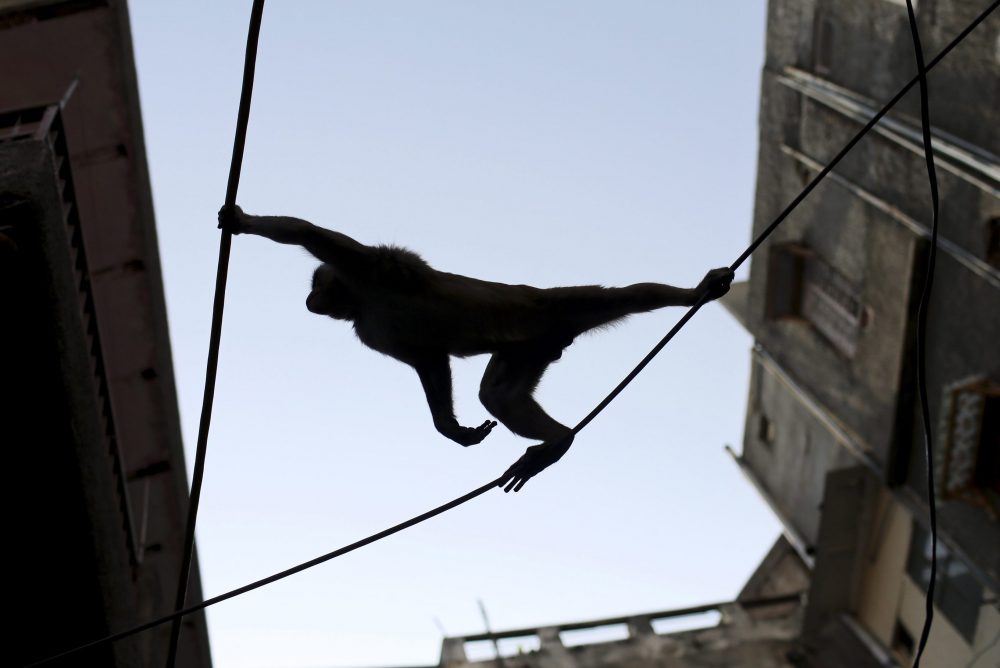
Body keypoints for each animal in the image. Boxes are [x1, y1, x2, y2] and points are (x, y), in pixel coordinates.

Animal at [218, 206, 734, 492]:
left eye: (317, 289)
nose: (309, 302)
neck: (364, 300)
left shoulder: (374, 265)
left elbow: (310, 234)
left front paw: (242, 221)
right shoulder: (373, 326)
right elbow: (429, 359)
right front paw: (452, 429)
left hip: (548, 309)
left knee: (615, 297)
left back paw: (693, 293)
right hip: (533, 345)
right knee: (499, 394)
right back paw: (558, 439)